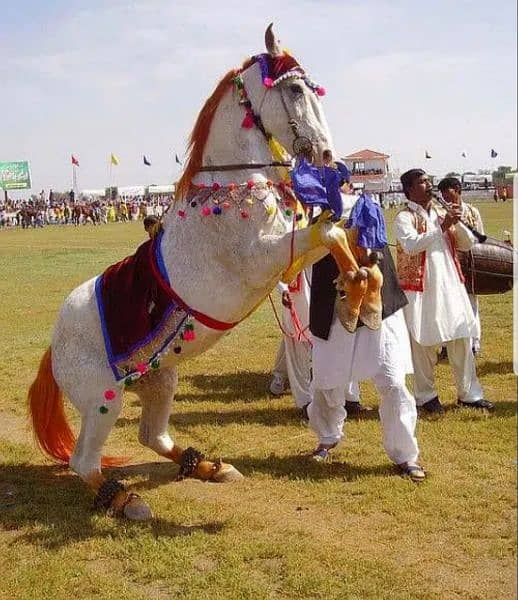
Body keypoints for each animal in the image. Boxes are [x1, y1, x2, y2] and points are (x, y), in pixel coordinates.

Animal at [28, 24, 378, 520]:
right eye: (295, 90)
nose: (328, 156)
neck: (231, 188)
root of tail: (53, 346)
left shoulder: (289, 254)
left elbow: (337, 233)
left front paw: (360, 292)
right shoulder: (264, 259)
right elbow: (329, 233)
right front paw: (355, 298)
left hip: (159, 381)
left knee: (152, 436)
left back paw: (209, 466)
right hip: (101, 400)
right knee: (84, 462)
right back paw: (127, 499)